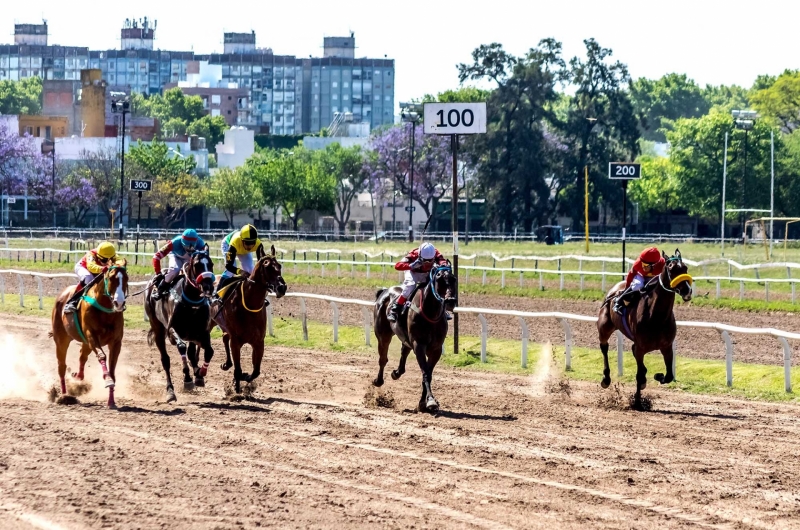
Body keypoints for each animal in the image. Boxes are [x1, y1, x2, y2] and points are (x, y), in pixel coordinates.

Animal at [49, 262, 128, 406]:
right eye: (111, 278)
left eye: (126, 278)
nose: (119, 303)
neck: (105, 311)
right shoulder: (92, 336)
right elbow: (102, 356)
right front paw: (107, 380)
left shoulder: (116, 342)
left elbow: (112, 367)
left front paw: (111, 400)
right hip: (61, 338)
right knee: (62, 366)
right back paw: (64, 396)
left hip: (85, 342)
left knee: (82, 356)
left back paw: (78, 377)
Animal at [145, 248, 216, 400]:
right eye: (197, 265)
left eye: (211, 264)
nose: (208, 287)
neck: (192, 302)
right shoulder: (172, 331)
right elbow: (181, 346)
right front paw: (188, 378)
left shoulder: (201, 332)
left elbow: (208, 351)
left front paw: (200, 373)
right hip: (158, 328)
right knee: (165, 360)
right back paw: (170, 391)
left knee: (191, 353)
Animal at [209, 244, 288, 392]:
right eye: (267, 266)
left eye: (279, 266)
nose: (282, 287)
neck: (249, 306)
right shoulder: (236, 341)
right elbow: (238, 369)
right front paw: (237, 386)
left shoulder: (258, 342)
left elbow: (256, 371)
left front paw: (245, 378)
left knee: (224, 337)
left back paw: (227, 364)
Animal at [370, 262, 454, 410]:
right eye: (439, 278)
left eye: (454, 279)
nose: (451, 301)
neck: (430, 314)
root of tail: (384, 291)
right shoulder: (419, 345)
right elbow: (425, 373)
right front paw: (430, 400)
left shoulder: (436, 349)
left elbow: (428, 373)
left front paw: (424, 402)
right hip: (383, 335)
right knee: (383, 358)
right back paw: (378, 381)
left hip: (405, 338)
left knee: (404, 351)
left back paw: (396, 373)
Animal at [596, 250, 692, 402]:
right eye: (671, 268)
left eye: (685, 268)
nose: (687, 291)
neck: (657, 317)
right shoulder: (640, 348)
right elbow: (639, 374)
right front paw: (638, 402)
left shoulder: (666, 346)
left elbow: (668, 376)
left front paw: (658, 376)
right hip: (605, 327)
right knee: (604, 347)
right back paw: (606, 378)